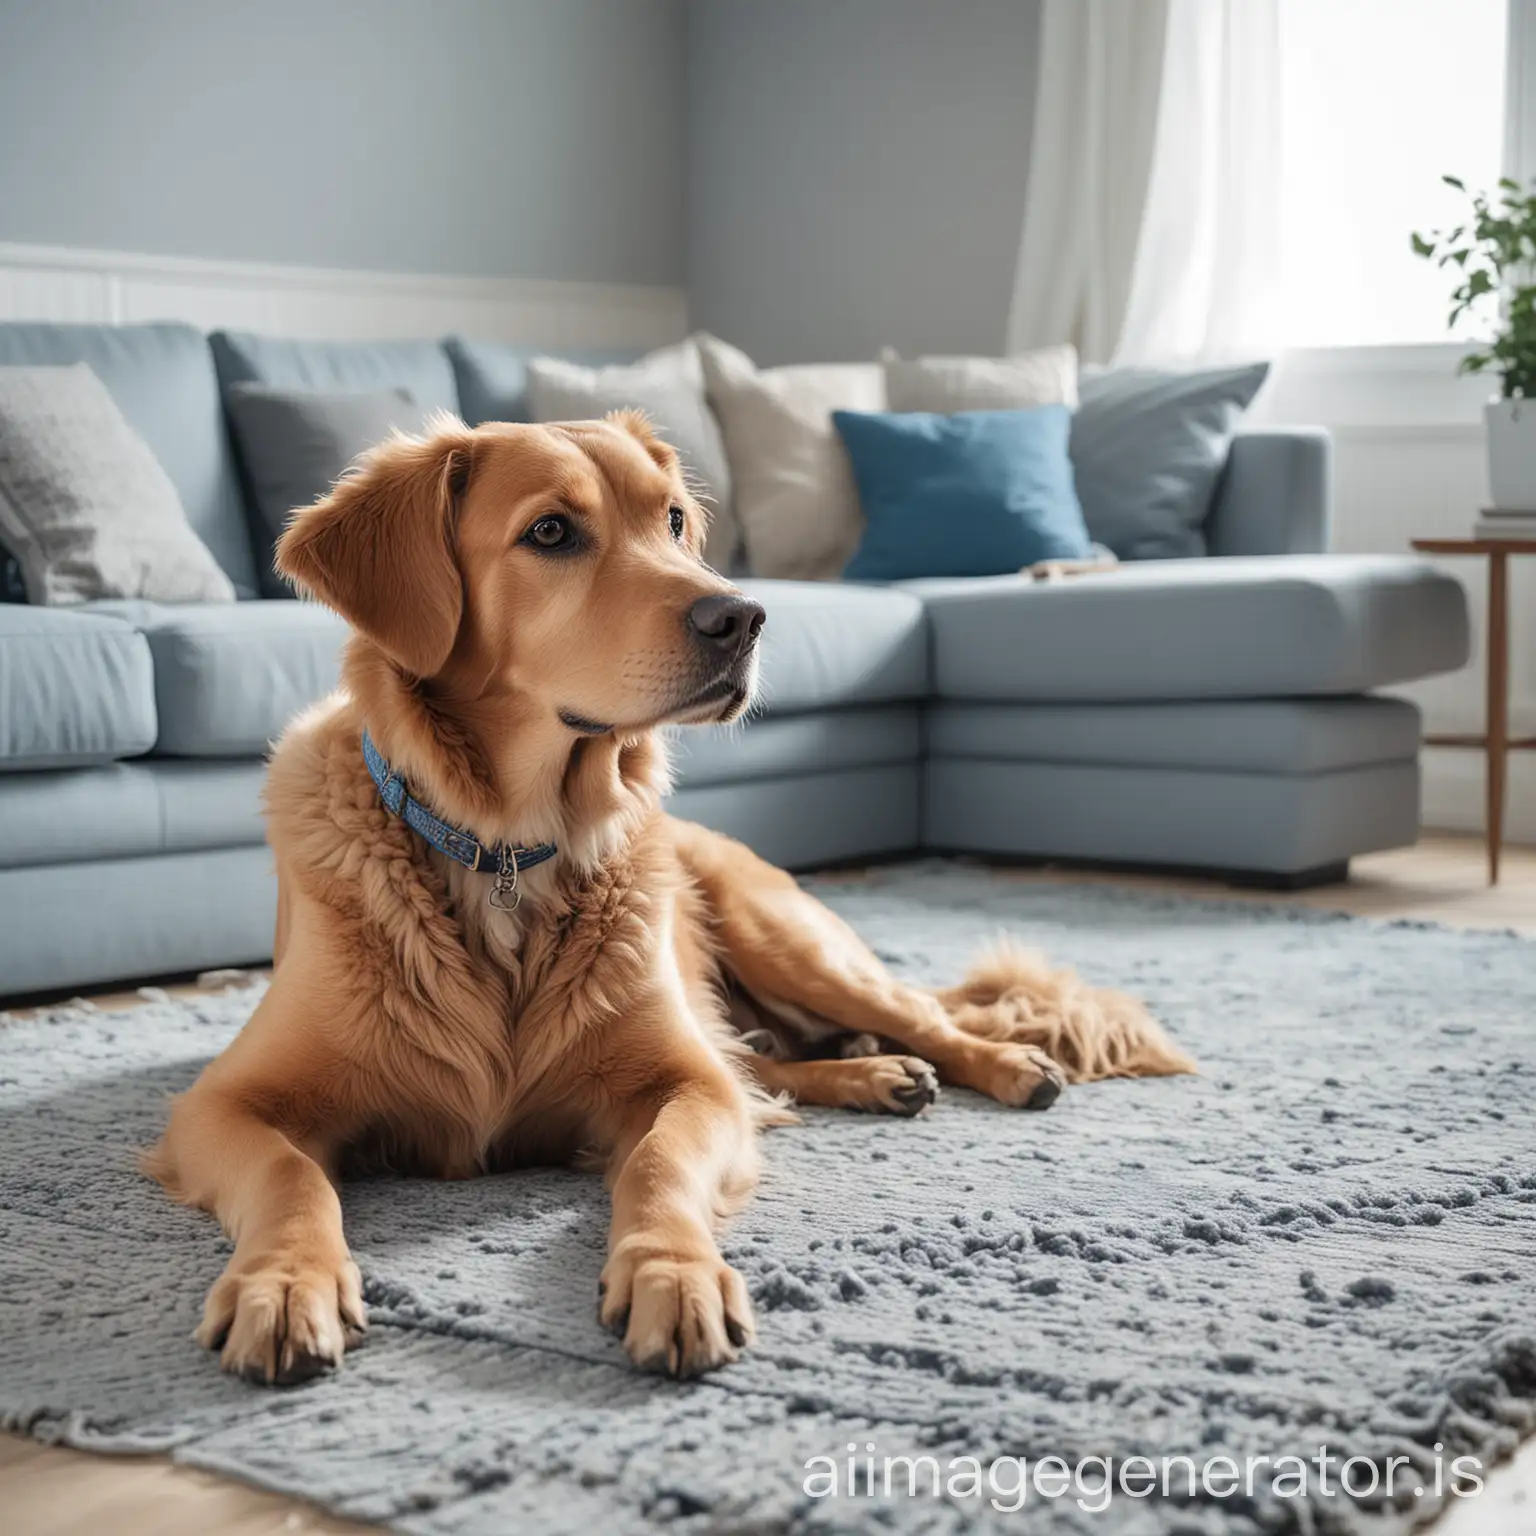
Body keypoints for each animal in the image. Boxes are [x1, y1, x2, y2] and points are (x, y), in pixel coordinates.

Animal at [144, 405, 1191, 1382]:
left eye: (676, 520)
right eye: (552, 532)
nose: (744, 618)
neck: (509, 850)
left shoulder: (684, 1084)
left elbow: (659, 1160)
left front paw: (673, 1277)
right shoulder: (222, 1105)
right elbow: (292, 1178)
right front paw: (286, 1284)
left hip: (787, 935)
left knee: (906, 1021)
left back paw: (1000, 1065)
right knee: (772, 1060)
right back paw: (874, 1075)